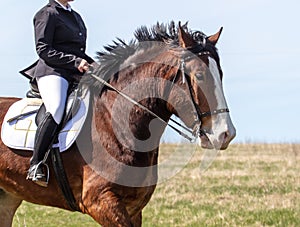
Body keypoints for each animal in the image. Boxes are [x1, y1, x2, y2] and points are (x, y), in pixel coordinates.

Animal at [0, 21, 236, 227]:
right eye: (200, 75)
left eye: (221, 75)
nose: (226, 134)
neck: (117, 123)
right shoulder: (100, 202)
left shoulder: (134, 208)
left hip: (7, 198)